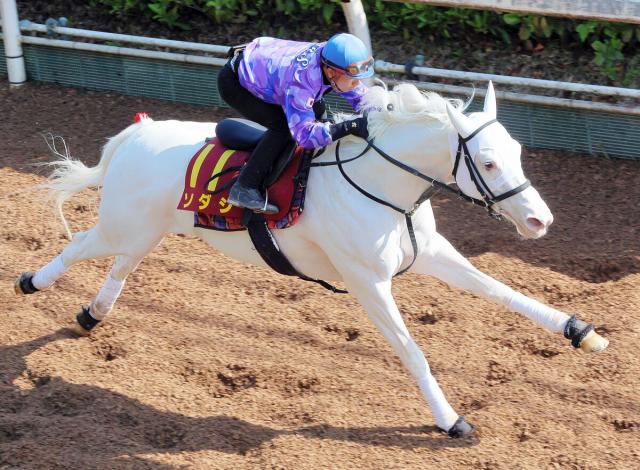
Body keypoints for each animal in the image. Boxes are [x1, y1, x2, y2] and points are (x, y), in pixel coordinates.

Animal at [13, 81, 604, 436]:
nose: (540, 220)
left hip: (148, 229)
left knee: (123, 264)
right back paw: (30, 282)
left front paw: (581, 331)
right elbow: (412, 351)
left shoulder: (430, 254)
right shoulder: (368, 281)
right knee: (80, 245)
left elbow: (501, 289)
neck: (381, 183)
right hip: (123, 223)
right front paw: (450, 419)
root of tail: (138, 131)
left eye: (518, 153)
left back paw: (92, 313)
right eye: (488, 161)